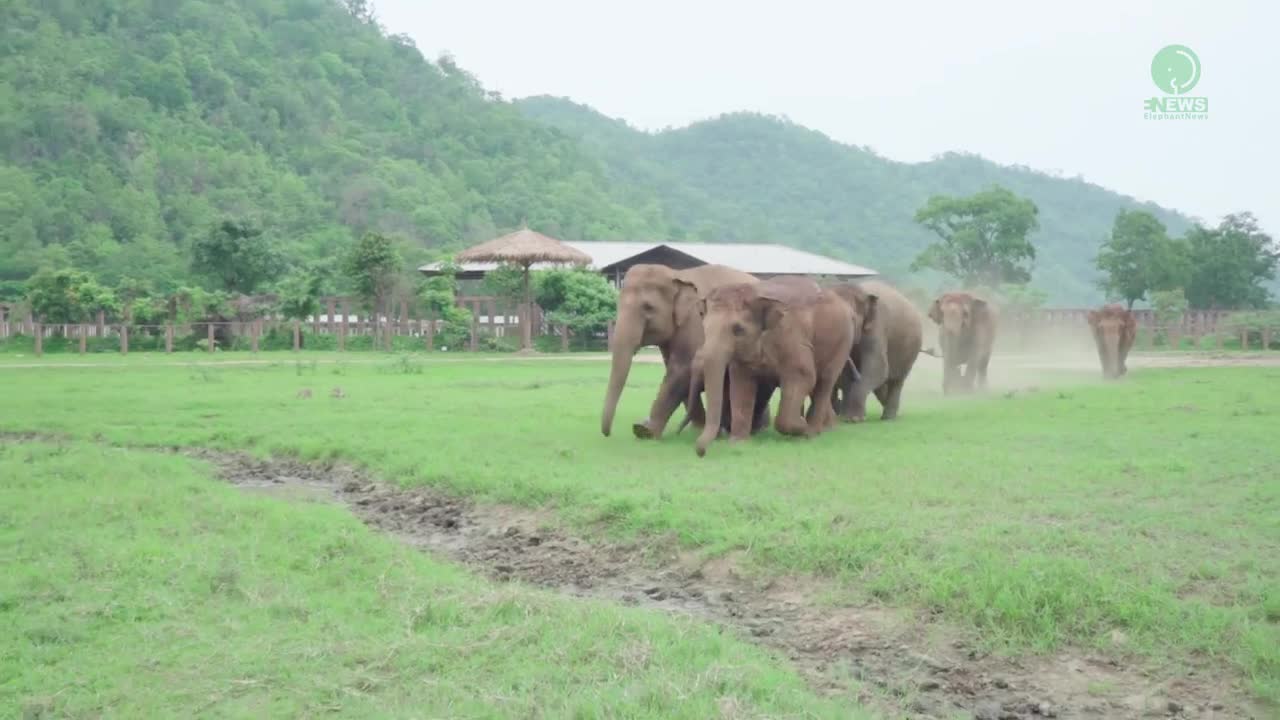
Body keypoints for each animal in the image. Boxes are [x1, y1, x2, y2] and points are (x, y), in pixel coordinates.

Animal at [601, 262, 768, 438]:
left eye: (648, 307)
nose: (608, 434)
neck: (677, 275)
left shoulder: (694, 321)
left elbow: (682, 369)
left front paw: (644, 430)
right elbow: (677, 371)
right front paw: (697, 428)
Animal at [696, 274, 855, 453]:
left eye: (738, 329)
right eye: (704, 327)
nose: (700, 453)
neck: (756, 292)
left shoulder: (791, 337)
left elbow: (803, 376)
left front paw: (802, 427)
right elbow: (741, 383)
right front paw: (738, 442)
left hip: (843, 342)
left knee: (825, 381)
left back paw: (812, 433)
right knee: (817, 387)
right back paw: (827, 429)